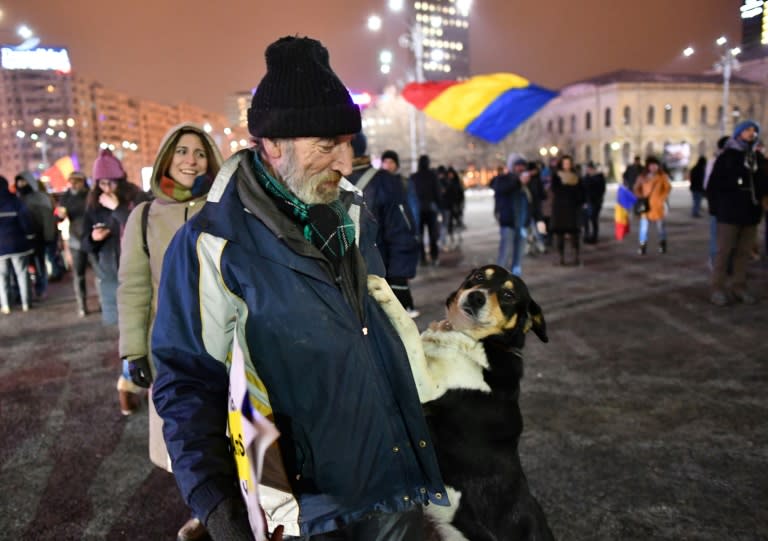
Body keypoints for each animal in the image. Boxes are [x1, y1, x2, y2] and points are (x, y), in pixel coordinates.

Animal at [368, 266, 552, 540]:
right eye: (479, 277)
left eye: (508, 295)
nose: (476, 297)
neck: (479, 342)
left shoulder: (424, 386)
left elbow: (409, 327)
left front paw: (385, 290)